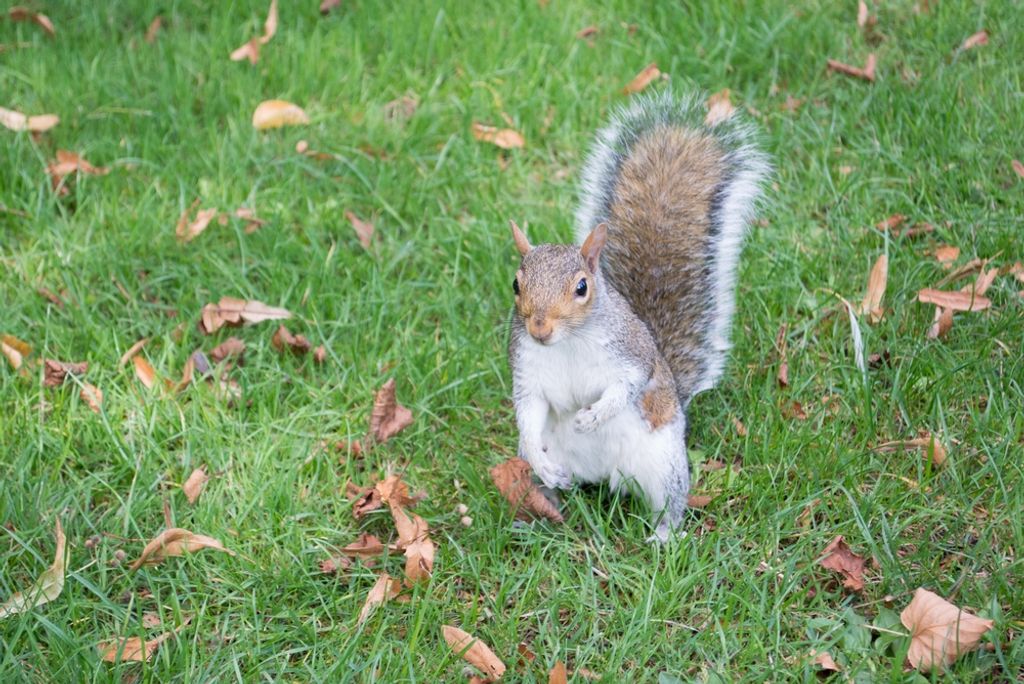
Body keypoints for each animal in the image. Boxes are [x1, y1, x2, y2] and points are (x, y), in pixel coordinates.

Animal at [507, 90, 768, 542]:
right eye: (516, 285)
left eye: (582, 287)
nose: (539, 328)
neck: (568, 344)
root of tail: (601, 475)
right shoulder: (528, 370)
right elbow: (529, 411)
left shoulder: (631, 354)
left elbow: (627, 386)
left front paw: (594, 415)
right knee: (548, 483)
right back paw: (541, 513)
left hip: (662, 462)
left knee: (670, 502)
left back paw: (663, 536)